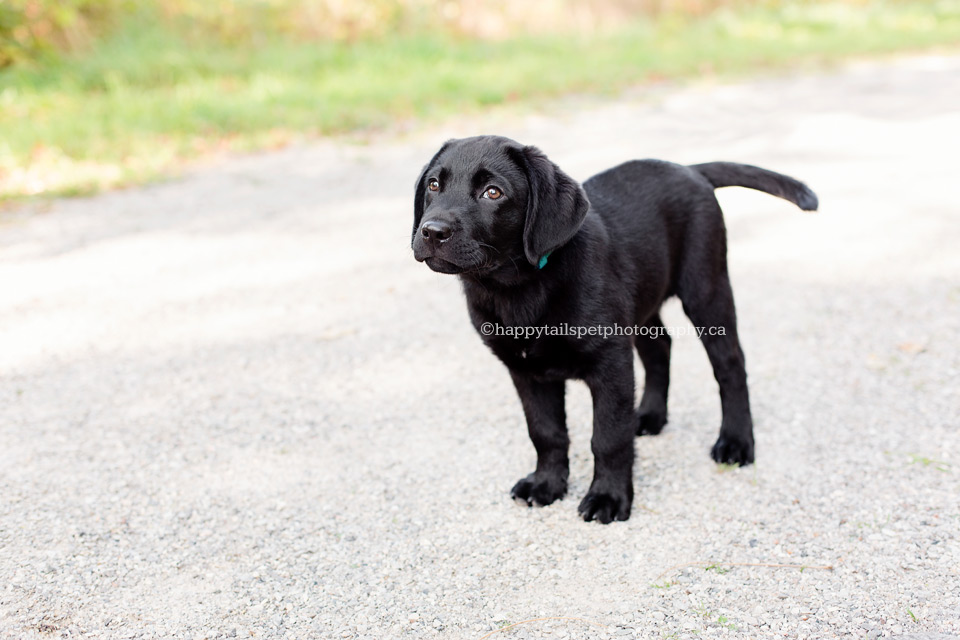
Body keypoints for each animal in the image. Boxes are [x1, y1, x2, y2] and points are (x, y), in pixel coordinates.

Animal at [412, 135, 816, 520]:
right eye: (434, 185)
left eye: (492, 193)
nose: (432, 231)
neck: (519, 288)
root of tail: (689, 169)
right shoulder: (525, 371)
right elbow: (545, 432)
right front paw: (546, 484)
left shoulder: (610, 364)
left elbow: (608, 437)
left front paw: (607, 497)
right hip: (644, 302)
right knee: (661, 347)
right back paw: (650, 416)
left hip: (706, 289)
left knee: (730, 366)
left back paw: (736, 442)